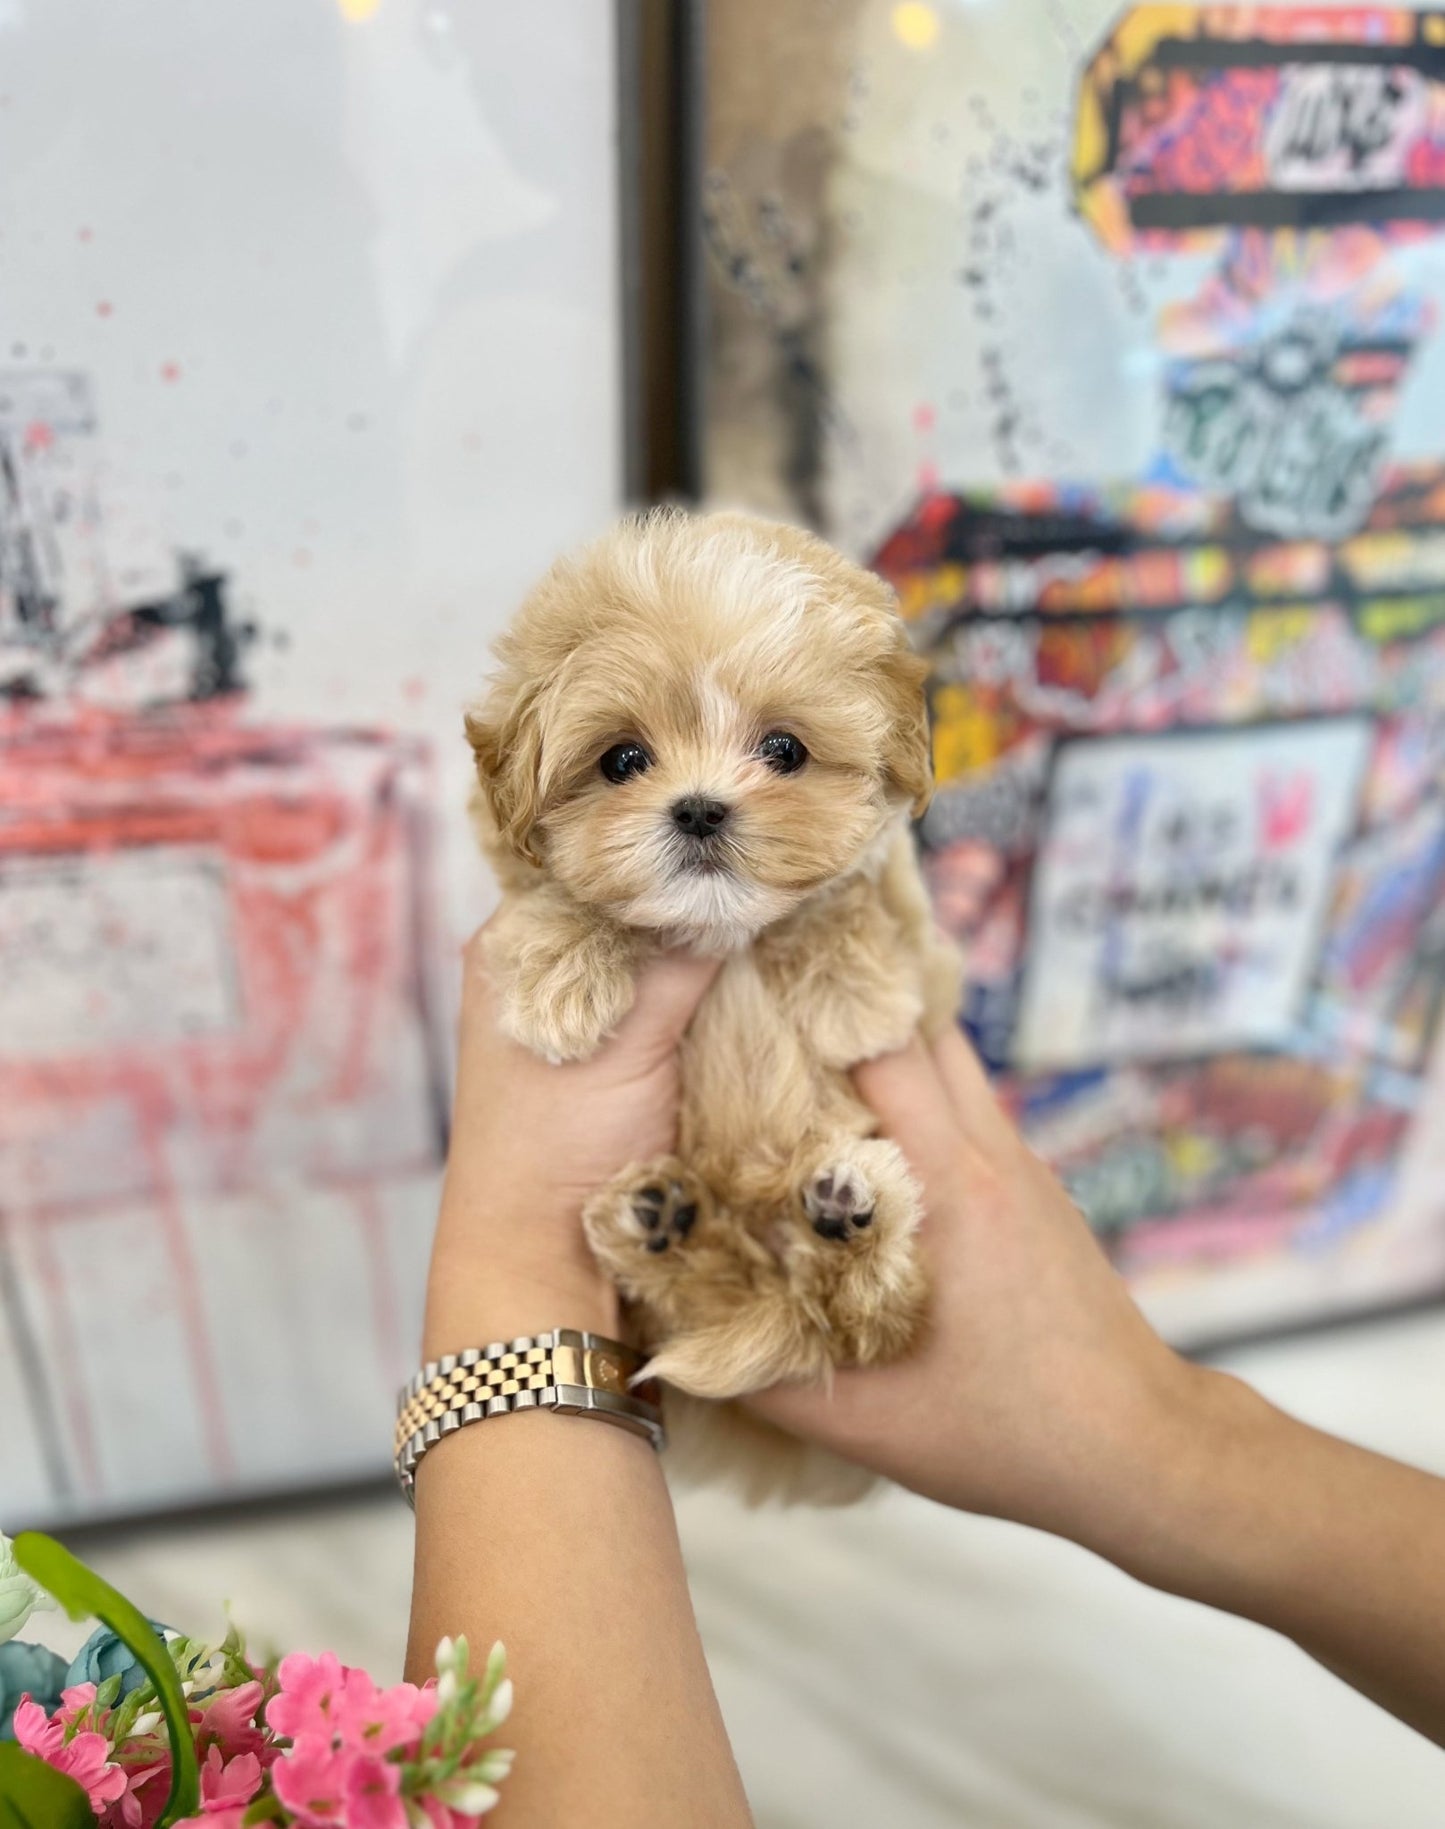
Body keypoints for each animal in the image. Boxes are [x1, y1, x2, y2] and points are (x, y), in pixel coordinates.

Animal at [471, 508, 958, 1492]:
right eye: (621, 759)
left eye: (785, 750)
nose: (698, 808)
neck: (718, 933)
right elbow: (558, 895)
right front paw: (559, 976)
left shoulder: (911, 921)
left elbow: (844, 899)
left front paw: (852, 989)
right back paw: (660, 1226)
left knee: (864, 1321)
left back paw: (848, 1219)